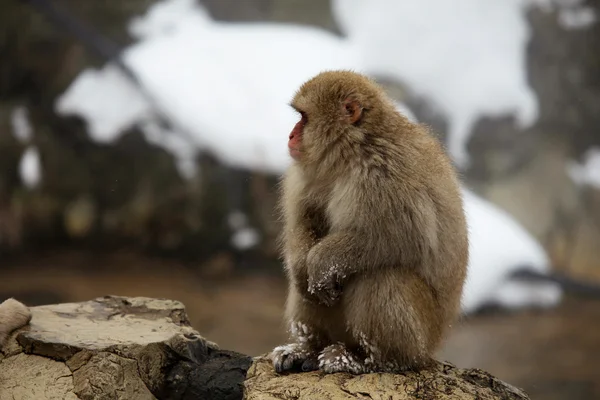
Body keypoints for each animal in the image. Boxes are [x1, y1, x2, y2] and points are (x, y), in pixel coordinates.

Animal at [270, 70, 472, 374]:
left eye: (303, 118)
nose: (292, 135)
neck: (351, 152)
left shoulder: (386, 172)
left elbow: (403, 238)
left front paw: (321, 263)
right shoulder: (306, 176)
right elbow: (304, 222)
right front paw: (303, 268)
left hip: (423, 334)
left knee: (382, 274)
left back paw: (371, 359)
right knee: (308, 289)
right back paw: (309, 348)